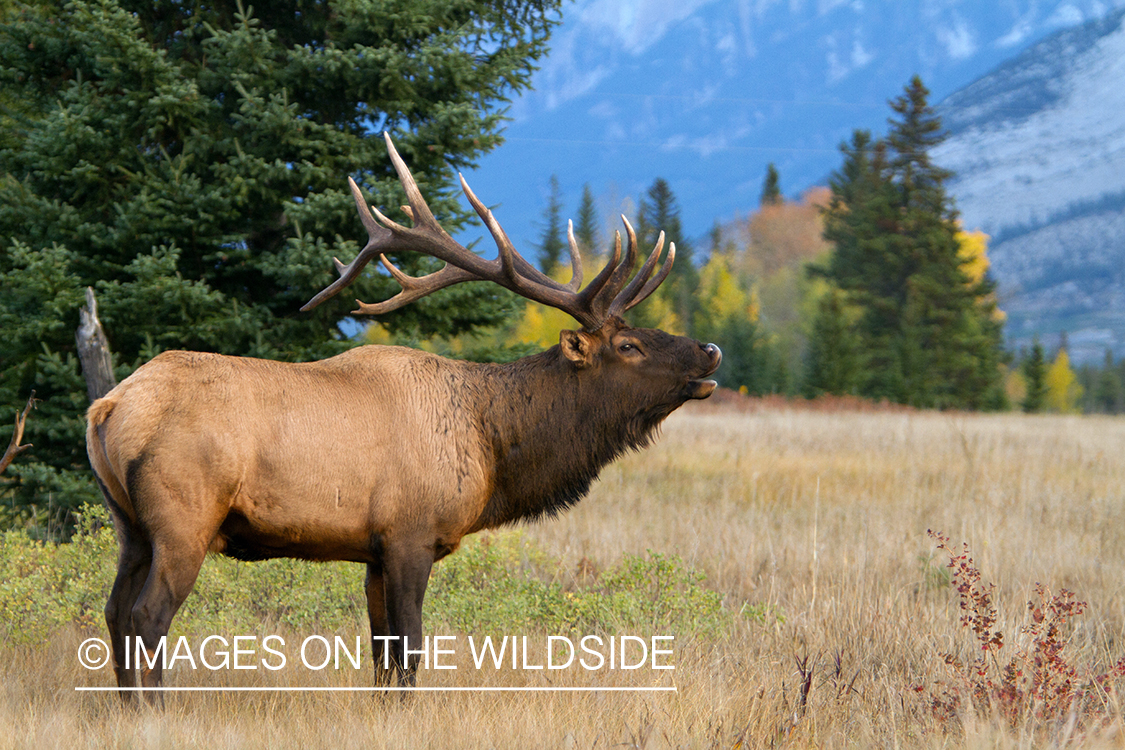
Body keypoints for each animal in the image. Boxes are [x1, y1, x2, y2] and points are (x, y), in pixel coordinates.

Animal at [85, 134, 720, 697]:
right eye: (629, 346)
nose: (709, 351)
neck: (492, 446)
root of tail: (107, 408)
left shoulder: (373, 550)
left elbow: (380, 652)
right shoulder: (410, 533)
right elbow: (410, 647)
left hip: (129, 524)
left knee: (114, 611)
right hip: (185, 515)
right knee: (147, 616)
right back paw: (155, 709)